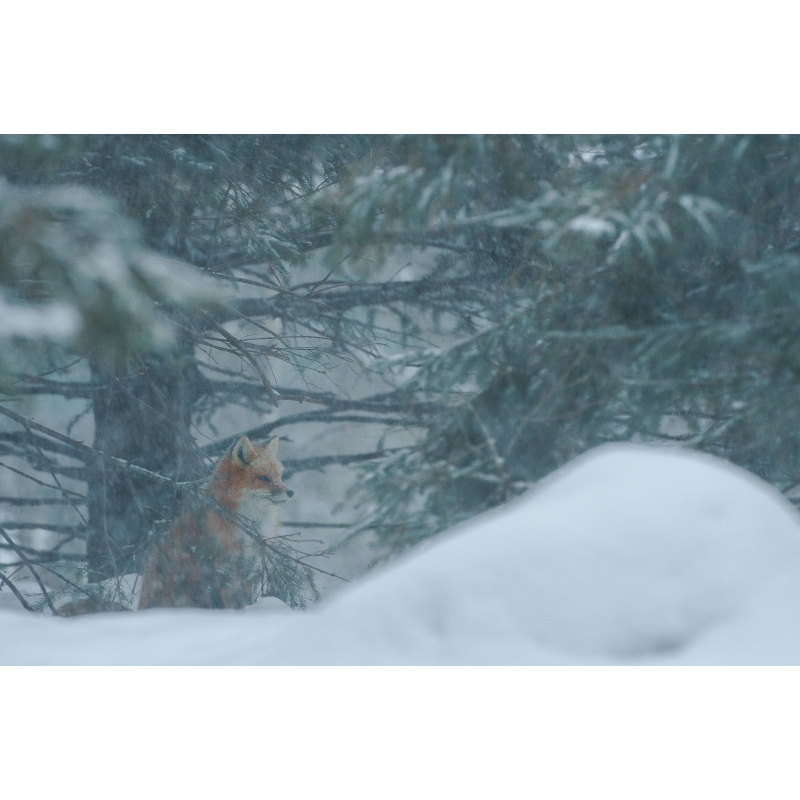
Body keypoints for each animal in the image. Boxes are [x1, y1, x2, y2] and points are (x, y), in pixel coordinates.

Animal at [138, 434, 294, 610]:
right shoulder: (223, 568)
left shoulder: (248, 567)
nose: (291, 492)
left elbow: (244, 602)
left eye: (279, 476)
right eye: (263, 478)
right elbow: (229, 605)